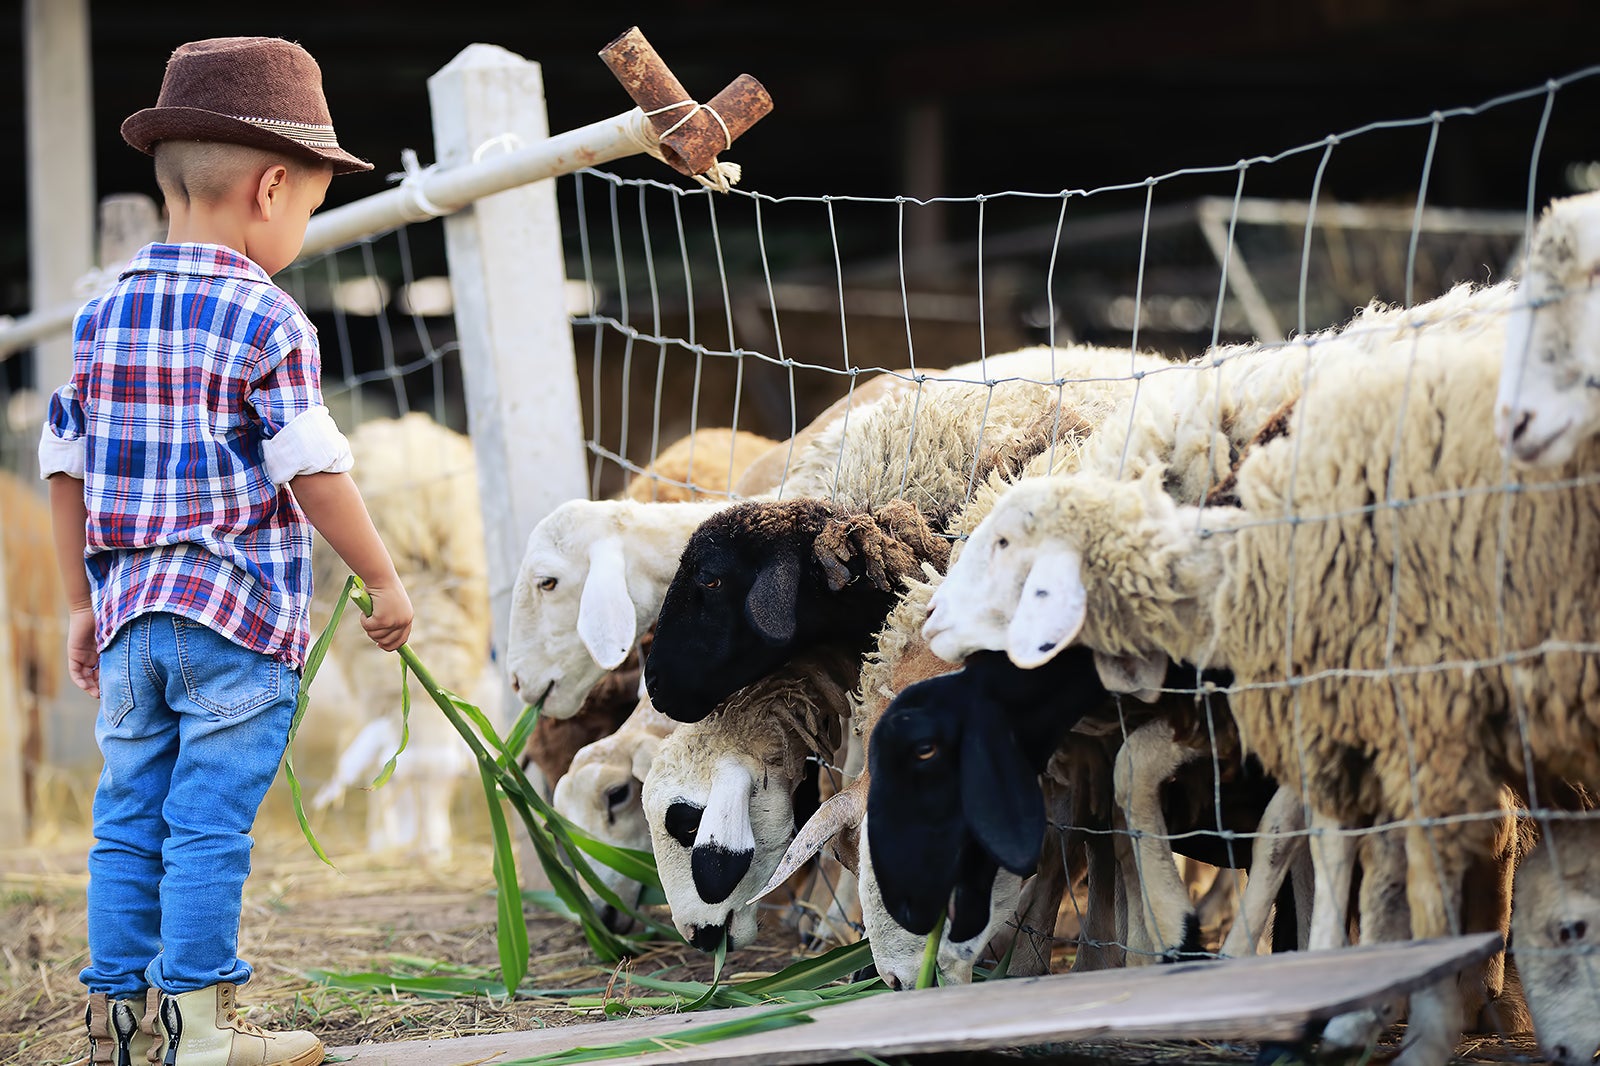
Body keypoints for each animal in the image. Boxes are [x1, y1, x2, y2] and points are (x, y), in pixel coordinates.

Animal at [928, 281, 1587, 1062]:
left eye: (1005, 544)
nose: (932, 615)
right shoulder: (1233, 706)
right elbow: (1139, 782)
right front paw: (1190, 941)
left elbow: (1292, 833)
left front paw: (1244, 961)